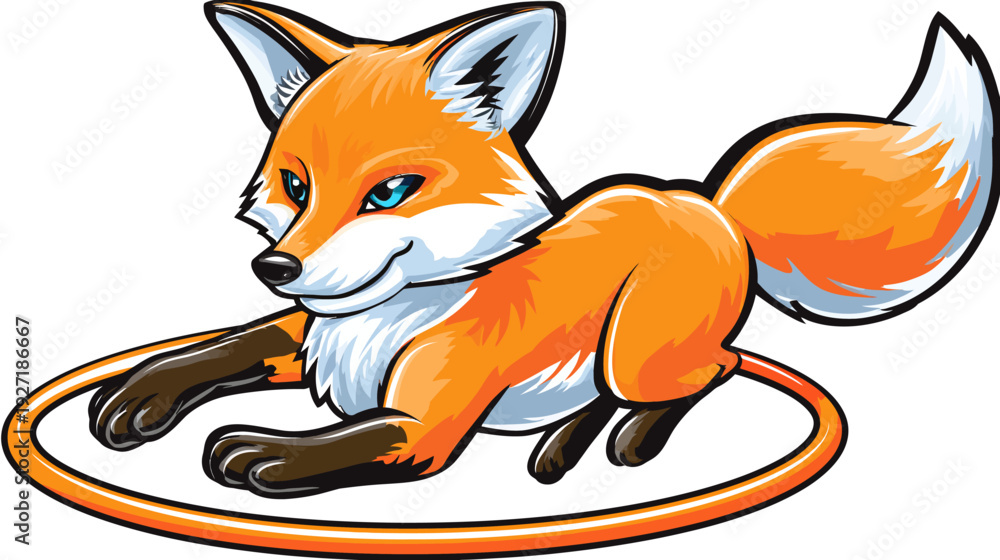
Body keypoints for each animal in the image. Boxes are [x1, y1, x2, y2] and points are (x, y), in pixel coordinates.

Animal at [88, 1, 996, 501]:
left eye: (389, 192)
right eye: (296, 187)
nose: (276, 268)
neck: (384, 321)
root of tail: (704, 201)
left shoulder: (420, 427)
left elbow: (331, 445)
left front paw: (258, 449)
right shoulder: (309, 340)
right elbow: (226, 345)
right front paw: (143, 391)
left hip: (637, 352)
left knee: (715, 369)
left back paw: (631, 440)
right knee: (612, 393)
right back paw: (560, 449)